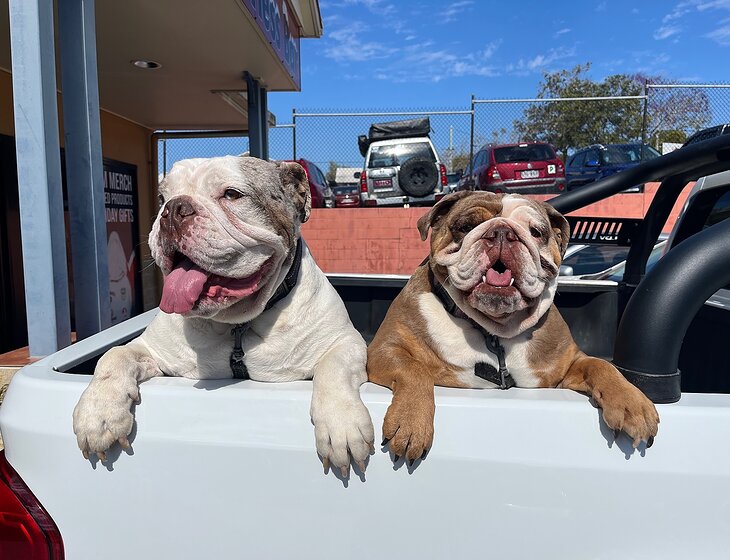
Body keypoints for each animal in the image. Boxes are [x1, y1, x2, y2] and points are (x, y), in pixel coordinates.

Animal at [73, 156, 374, 475]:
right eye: (162, 198)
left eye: (231, 194)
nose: (173, 209)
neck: (237, 324)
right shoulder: (150, 350)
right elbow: (114, 356)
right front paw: (98, 413)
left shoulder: (346, 342)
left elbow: (334, 368)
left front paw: (341, 424)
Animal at [367, 191, 659, 463]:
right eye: (465, 226)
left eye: (537, 232)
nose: (501, 232)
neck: (493, 330)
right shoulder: (385, 349)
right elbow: (414, 370)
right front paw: (411, 422)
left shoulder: (567, 367)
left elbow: (601, 366)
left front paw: (631, 403)